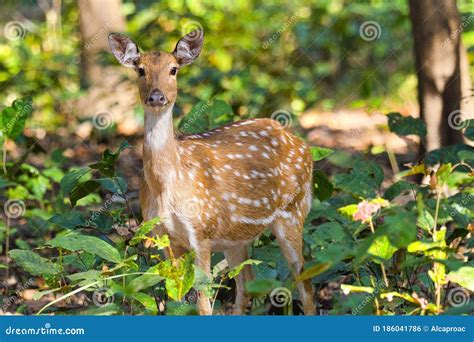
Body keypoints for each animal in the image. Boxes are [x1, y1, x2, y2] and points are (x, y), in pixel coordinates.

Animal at [107, 30, 314, 316]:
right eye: (140, 70)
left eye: (173, 69)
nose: (157, 97)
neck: (167, 185)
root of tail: (302, 145)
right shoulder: (162, 235)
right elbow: (177, 300)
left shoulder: (201, 229)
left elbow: (203, 303)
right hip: (236, 237)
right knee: (246, 284)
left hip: (293, 210)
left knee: (305, 283)